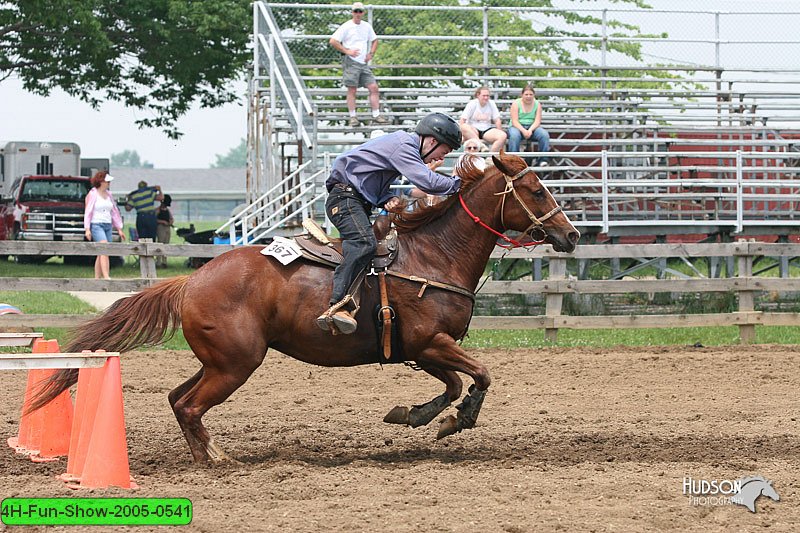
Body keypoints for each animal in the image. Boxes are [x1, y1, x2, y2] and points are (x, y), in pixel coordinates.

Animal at [32, 152, 580, 464]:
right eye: (536, 190)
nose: (572, 235)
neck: (432, 255)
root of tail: (192, 280)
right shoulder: (431, 342)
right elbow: (480, 376)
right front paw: (455, 419)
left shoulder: (422, 349)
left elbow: (450, 385)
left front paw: (415, 416)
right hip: (236, 364)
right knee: (188, 404)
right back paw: (216, 461)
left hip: (219, 361)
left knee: (176, 398)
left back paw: (210, 453)